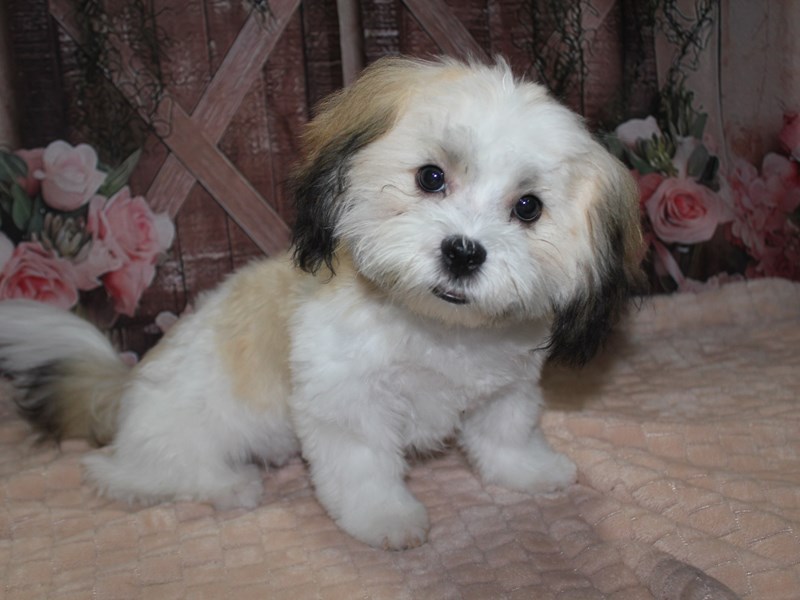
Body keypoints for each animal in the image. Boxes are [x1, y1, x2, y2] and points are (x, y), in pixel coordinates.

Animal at [0, 56, 642, 549]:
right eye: (430, 177)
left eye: (528, 207)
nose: (463, 252)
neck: (434, 326)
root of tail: (122, 391)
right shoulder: (348, 404)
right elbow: (365, 470)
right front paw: (386, 518)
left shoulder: (505, 389)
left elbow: (506, 435)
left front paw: (529, 472)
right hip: (184, 435)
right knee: (133, 476)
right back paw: (228, 486)